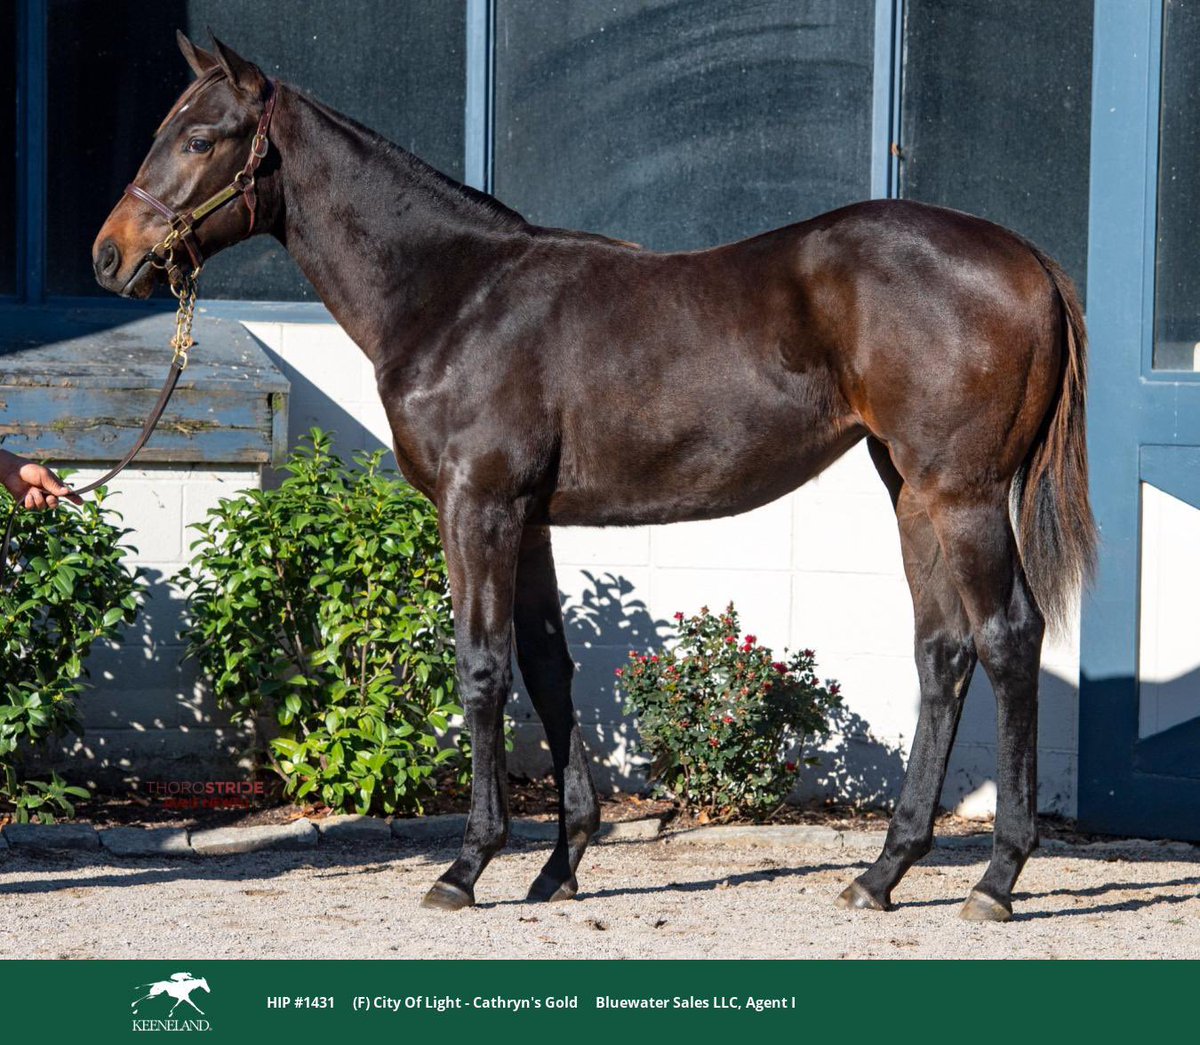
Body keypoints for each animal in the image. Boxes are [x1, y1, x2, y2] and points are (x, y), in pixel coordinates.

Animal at [93, 33, 1095, 923]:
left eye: (199, 138)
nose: (110, 254)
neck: (457, 294)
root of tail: (1028, 261)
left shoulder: (479, 507)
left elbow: (483, 668)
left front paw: (467, 864)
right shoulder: (528, 517)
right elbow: (548, 666)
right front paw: (559, 864)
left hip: (963, 493)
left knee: (1008, 640)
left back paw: (996, 878)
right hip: (910, 491)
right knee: (944, 653)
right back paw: (883, 872)